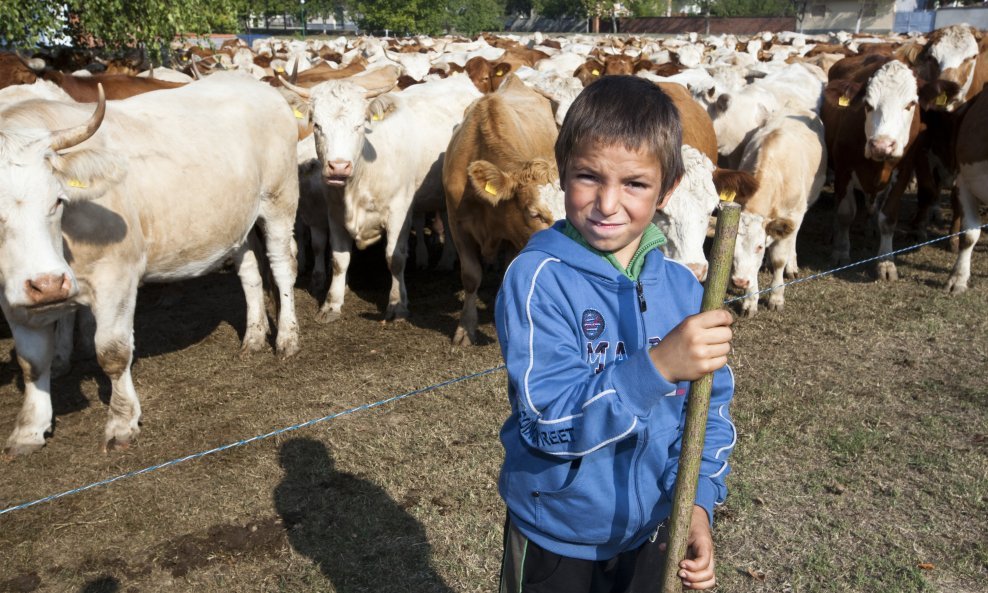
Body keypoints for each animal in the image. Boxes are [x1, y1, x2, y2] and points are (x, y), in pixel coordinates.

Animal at [0, 73, 302, 454]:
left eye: (58, 200)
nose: (48, 284)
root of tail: (258, 85)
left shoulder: (117, 276)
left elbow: (112, 352)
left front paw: (122, 423)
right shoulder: (12, 298)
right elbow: (31, 362)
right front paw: (29, 430)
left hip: (278, 200)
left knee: (281, 266)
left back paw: (287, 339)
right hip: (236, 220)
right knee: (249, 274)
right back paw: (254, 337)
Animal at [282, 74, 482, 324]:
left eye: (359, 125)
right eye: (317, 125)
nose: (338, 166)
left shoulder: (399, 212)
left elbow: (394, 258)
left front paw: (397, 305)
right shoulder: (335, 215)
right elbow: (338, 260)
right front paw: (331, 304)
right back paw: (445, 261)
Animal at [732, 108, 824, 316]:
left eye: (759, 247)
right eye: (732, 247)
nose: (739, 282)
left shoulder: (792, 215)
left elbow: (779, 260)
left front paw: (776, 297)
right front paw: (750, 301)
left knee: (792, 238)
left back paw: (792, 266)